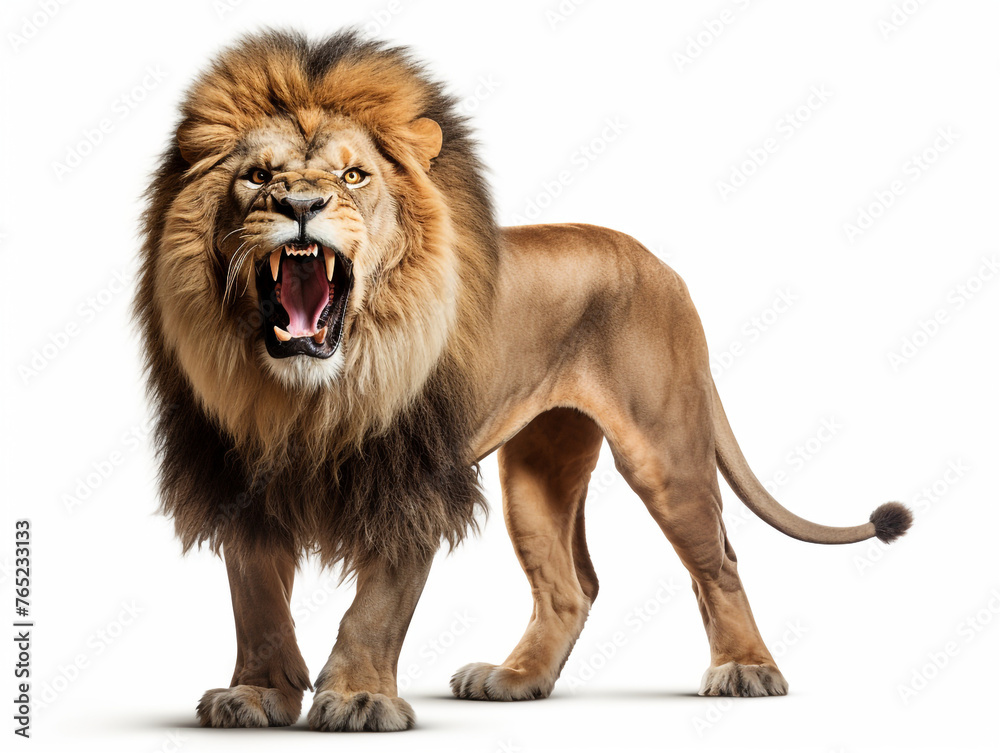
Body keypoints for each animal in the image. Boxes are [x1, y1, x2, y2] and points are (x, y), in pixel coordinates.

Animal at [135, 30, 912, 731]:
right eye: (259, 177)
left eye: (354, 177)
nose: (300, 204)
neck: (309, 393)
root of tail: (659, 262)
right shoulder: (233, 475)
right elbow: (257, 600)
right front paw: (256, 694)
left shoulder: (414, 479)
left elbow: (376, 604)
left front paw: (358, 699)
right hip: (538, 465)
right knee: (573, 585)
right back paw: (513, 679)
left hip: (663, 449)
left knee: (718, 559)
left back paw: (747, 668)